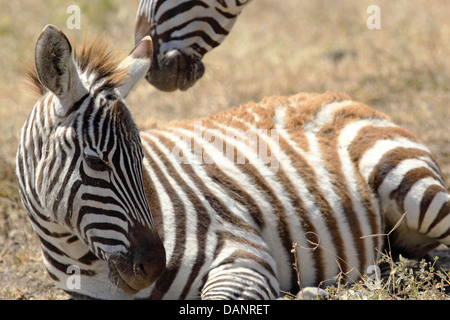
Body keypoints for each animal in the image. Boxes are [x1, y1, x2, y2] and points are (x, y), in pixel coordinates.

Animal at [17, 25, 450, 300]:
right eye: (96, 162)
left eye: (141, 160)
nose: (153, 266)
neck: (79, 256)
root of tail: (336, 94)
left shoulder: (244, 252)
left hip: (411, 186)